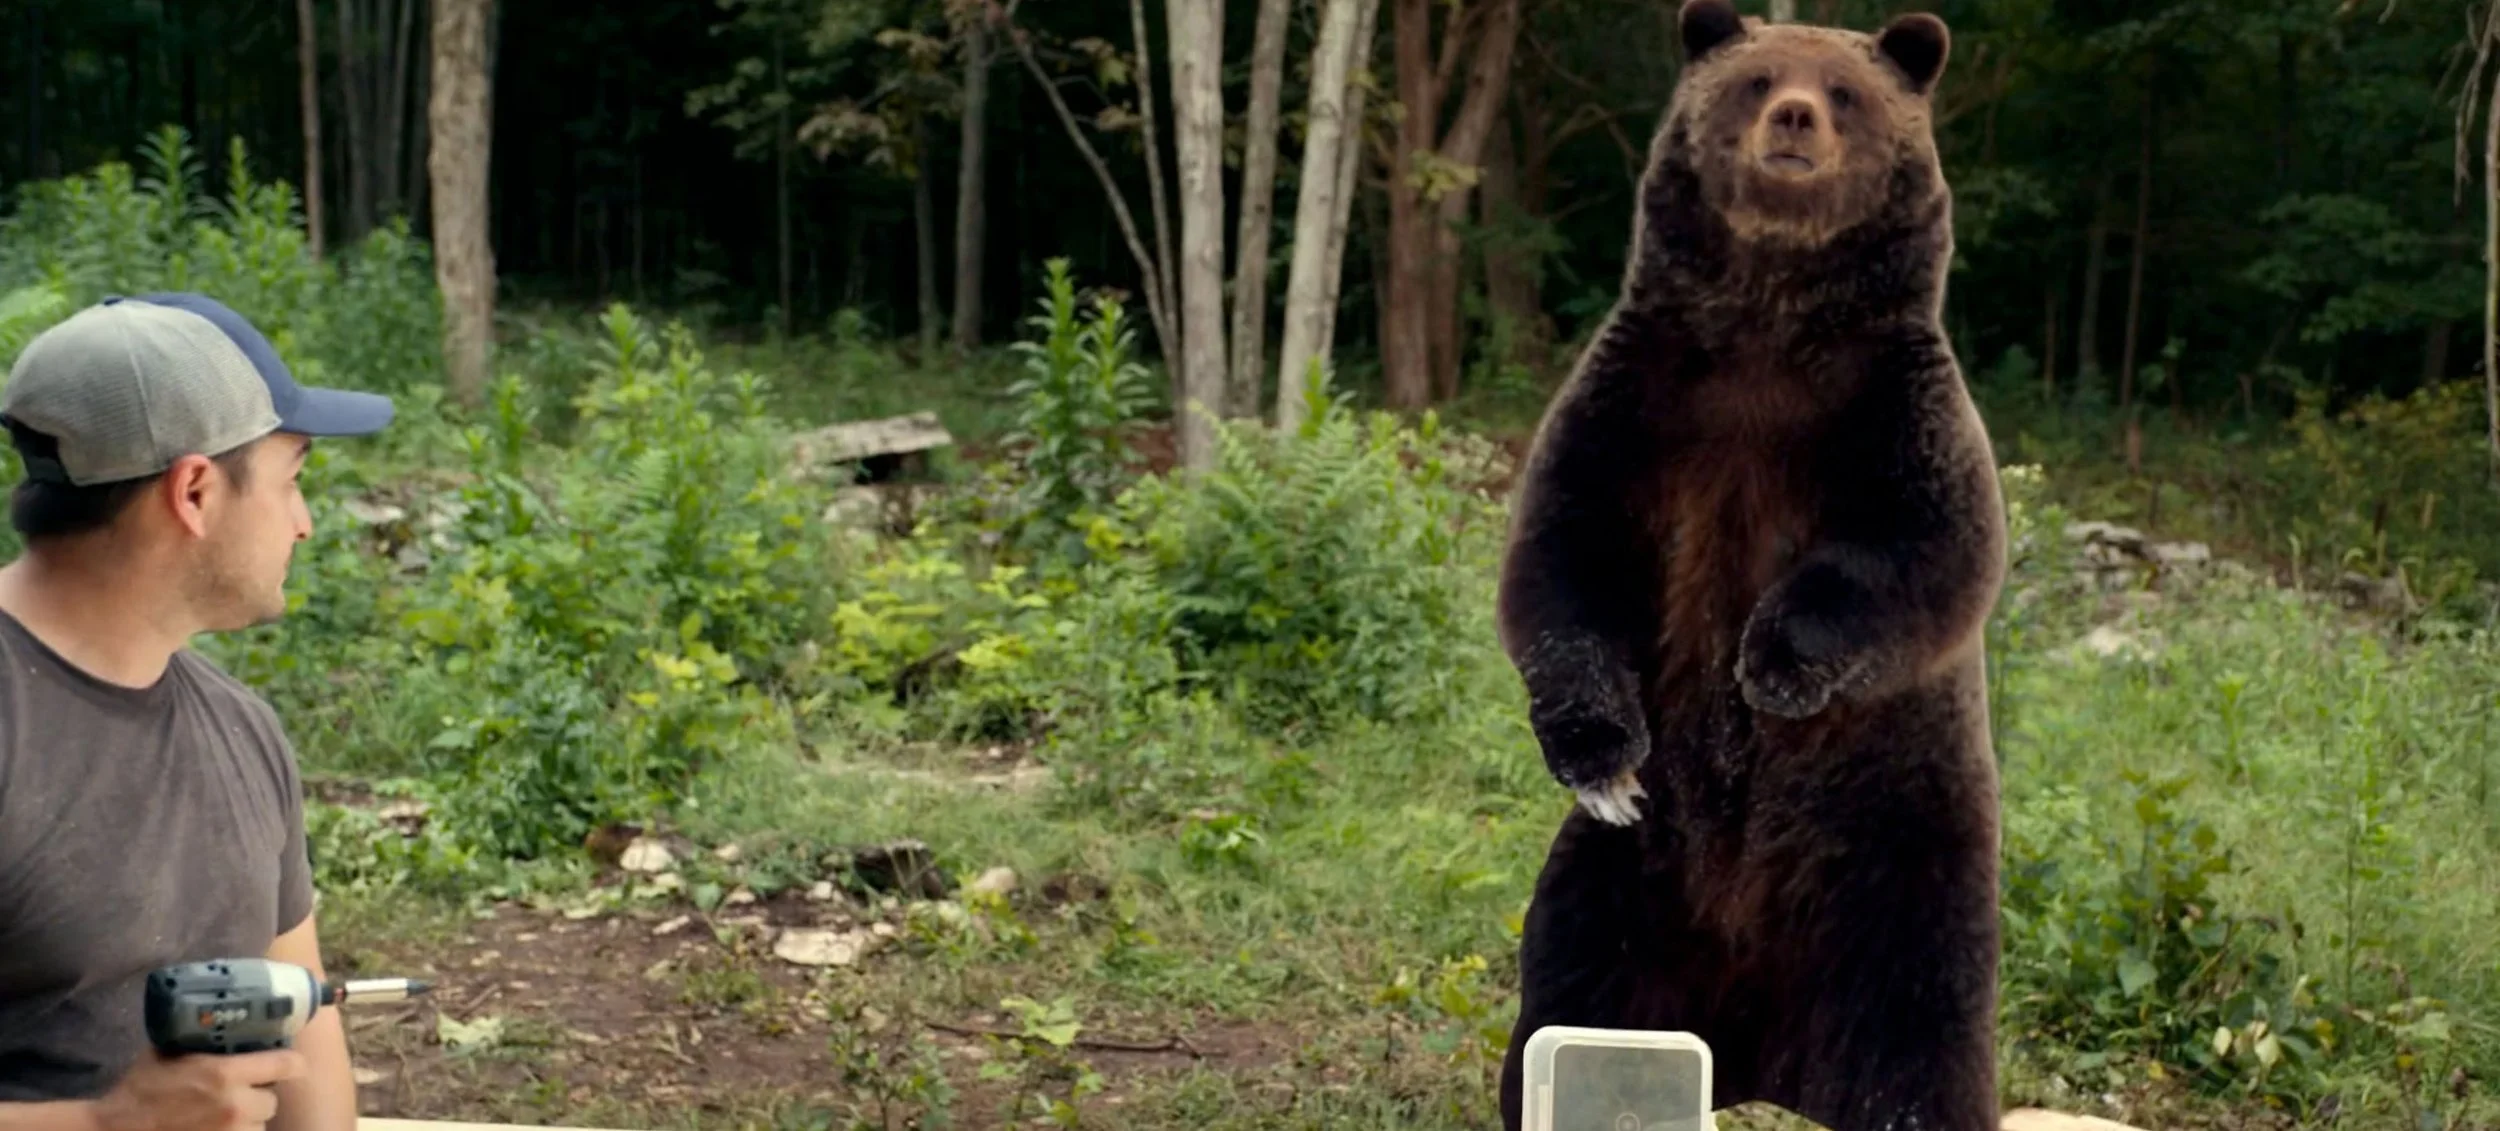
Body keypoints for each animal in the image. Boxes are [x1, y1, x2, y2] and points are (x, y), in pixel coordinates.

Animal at [1491, 4, 2007, 1131]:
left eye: (1845, 90)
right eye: (1758, 77)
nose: (1796, 117)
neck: (1769, 314)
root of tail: (1759, 1060)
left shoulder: (1893, 407)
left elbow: (1929, 548)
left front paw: (1772, 666)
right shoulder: (1640, 403)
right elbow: (1561, 558)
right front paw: (1598, 755)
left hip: (1900, 850)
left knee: (1917, 1025)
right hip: (1625, 883)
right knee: (1570, 980)